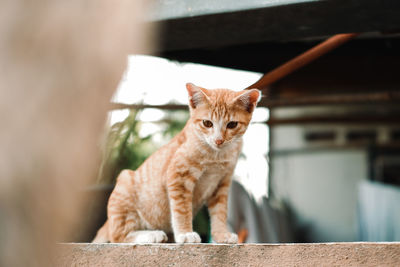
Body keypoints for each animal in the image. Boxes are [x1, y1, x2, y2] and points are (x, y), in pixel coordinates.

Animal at [92, 84, 260, 245]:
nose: (219, 140)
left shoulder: (222, 183)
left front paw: (221, 235)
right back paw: (152, 235)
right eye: (207, 123)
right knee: (118, 236)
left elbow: (220, 212)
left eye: (232, 124)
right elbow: (182, 209)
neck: (218, 154)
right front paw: (185, 234)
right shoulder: (178, 175)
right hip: (125, 184)